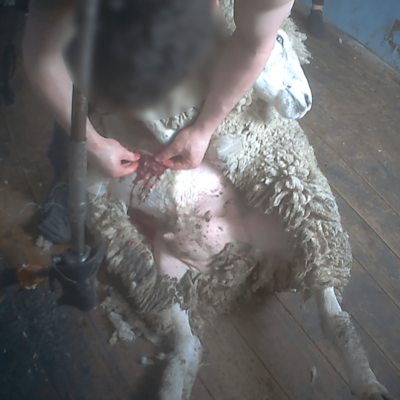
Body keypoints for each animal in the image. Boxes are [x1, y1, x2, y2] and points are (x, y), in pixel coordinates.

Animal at [84, 1, 394, 398]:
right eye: (279, 39)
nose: (307, 102)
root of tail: (243, 260)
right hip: (159, 273)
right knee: (189, 344)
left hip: (306, 218)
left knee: (334, 317)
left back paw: (367, 383)